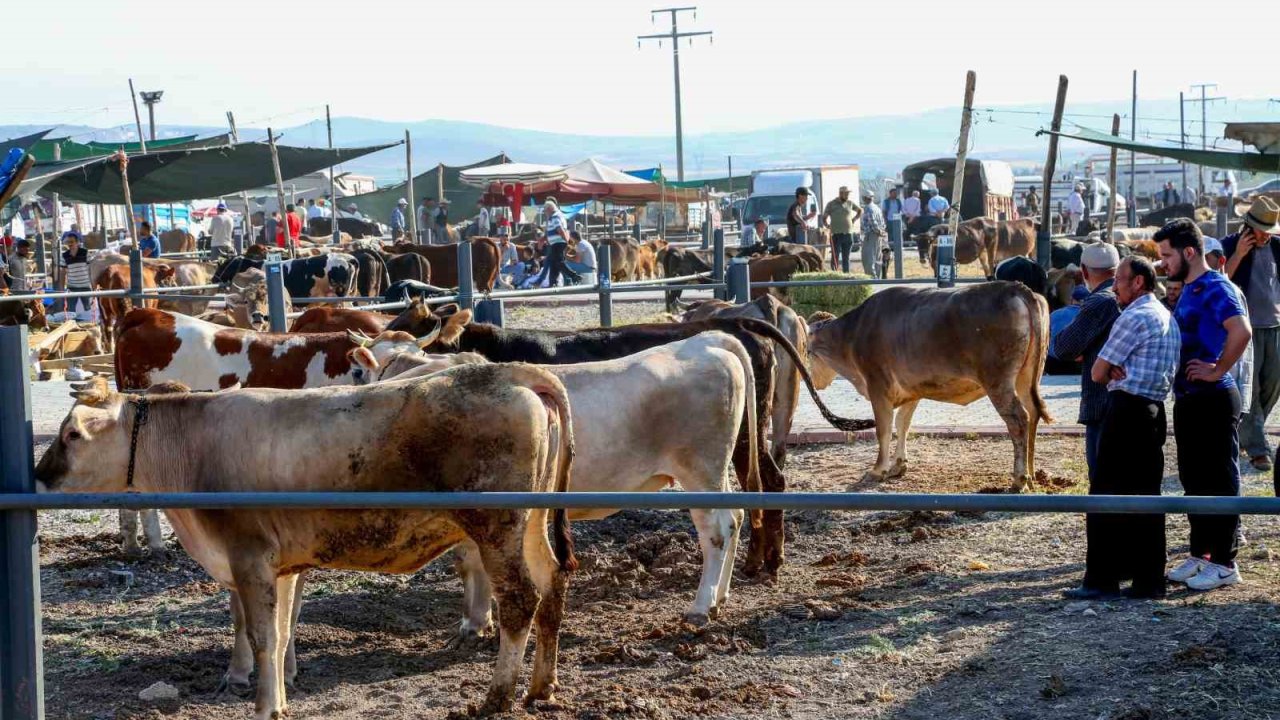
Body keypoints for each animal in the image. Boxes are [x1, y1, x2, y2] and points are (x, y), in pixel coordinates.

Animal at [38, 368, 581, 717]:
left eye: (71, 435)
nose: (40, 476)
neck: (194, 448)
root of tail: (510, 374)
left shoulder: (250, 556)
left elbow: (263, 636)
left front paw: (263, 707)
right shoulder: (279, 565)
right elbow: (279, 636)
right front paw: (277, 698)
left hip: (497, 525)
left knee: (520, 598)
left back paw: (496, 698)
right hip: (531, 523)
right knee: (553, 579)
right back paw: (541, 687)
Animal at [350, 330, 752, 627]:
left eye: (357, 372)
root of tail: (704, 341)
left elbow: (470, 562)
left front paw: (475, 621)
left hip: (699, 469)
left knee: (716, 530)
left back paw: (701, 606)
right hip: (715, 475)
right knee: (736, 518)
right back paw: (721, 596)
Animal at [407, 308, 870, 576]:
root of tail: (737, 324)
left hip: (740, 440)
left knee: (764, 485)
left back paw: (761, 562)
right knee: (765, 484)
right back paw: (766, 559)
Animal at [808, 278, 1049, 489]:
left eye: (807, 352)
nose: (815, 382)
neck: (852, 333)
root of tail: (1014, 288)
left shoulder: (878, 385)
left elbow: (884, 429)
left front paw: (878, 470)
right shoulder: (911, 389)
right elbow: (902, 424)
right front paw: (898, 465)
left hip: (998, 380)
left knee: (1018, 419)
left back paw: (1019, 479)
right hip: (1027, 377)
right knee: (1033, 412)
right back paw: (1032, 474)